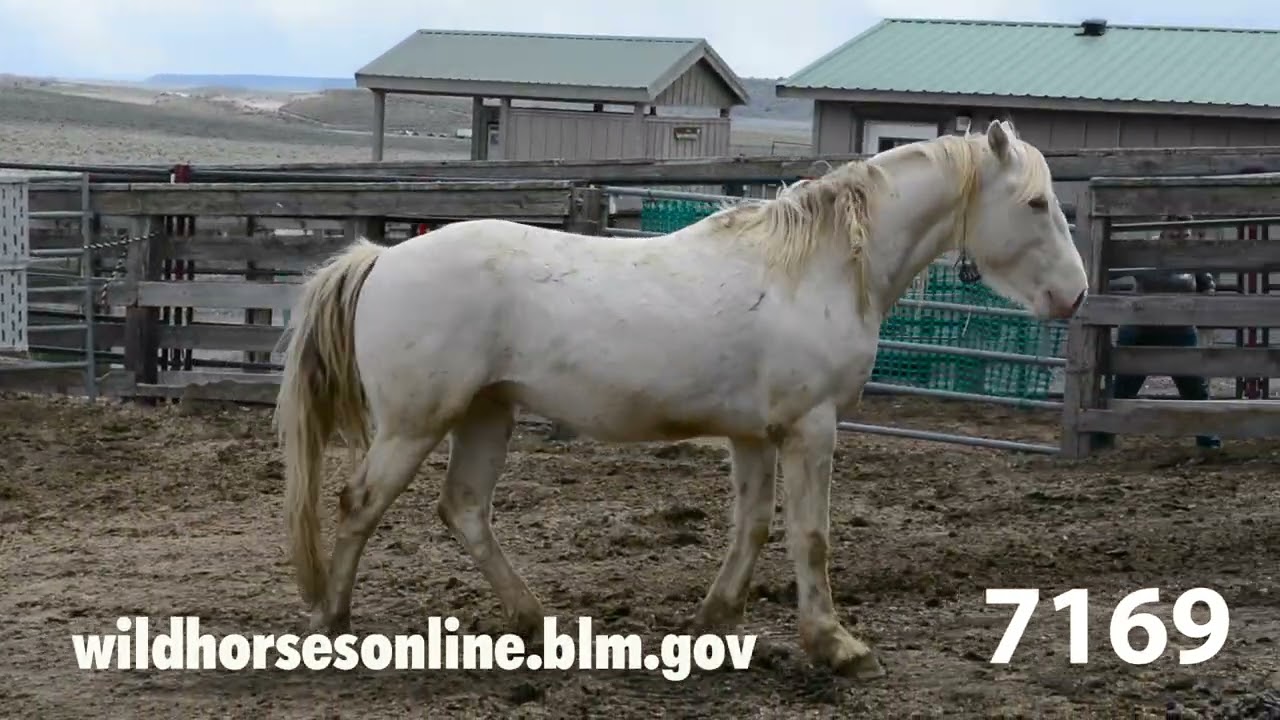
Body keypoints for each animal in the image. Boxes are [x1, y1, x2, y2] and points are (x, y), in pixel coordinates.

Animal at [273, 119, 1087, 680]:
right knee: (358, 506)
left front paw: (716, 623)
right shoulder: (811, 428)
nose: (1075, 296)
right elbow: (810, 536)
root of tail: (380, 260)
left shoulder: (756, 435)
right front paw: (838, 647)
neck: (817, 268)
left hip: (486, 414)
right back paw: (331, 623)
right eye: (1037, 202)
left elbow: (752, 528)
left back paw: (533, 623)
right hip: (415, 425)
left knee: (465, 510)